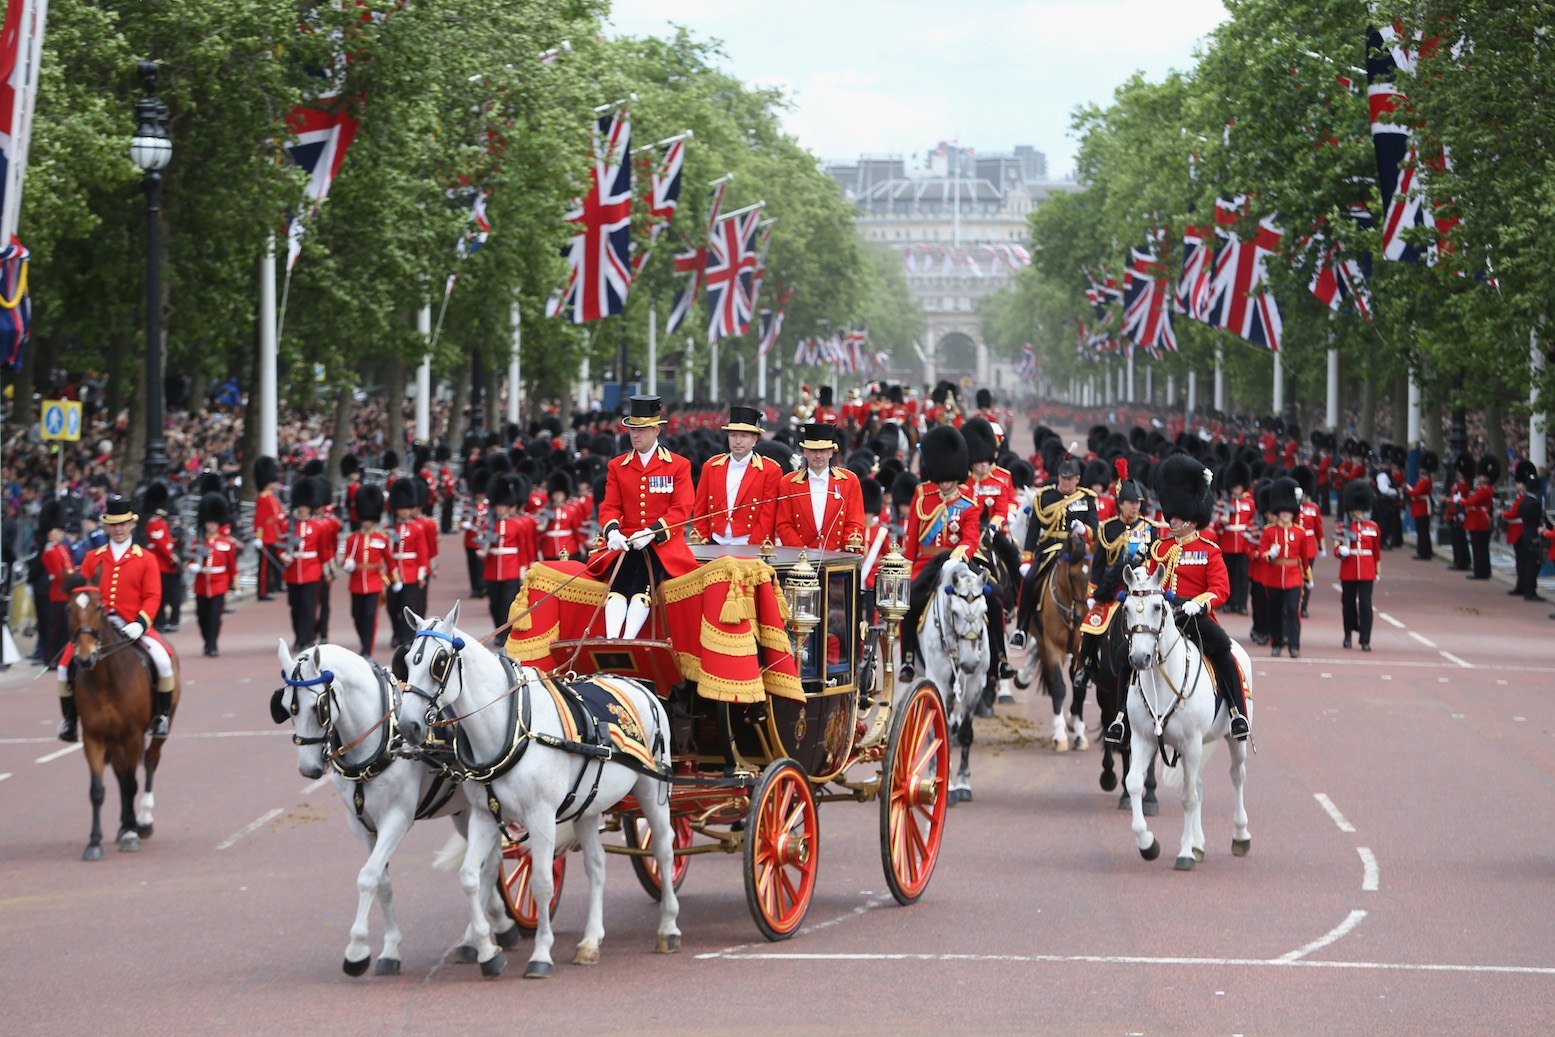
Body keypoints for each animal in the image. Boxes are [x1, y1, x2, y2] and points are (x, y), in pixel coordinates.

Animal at [64, 584, 180, 858]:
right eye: (68, 608)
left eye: (99, 607)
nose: (85, 657)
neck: (105, 678)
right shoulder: (94, 738)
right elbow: (98, 790)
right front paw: (95, 842)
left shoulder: (132, 735)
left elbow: (131, 784)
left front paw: (131, 832)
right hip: (114, 742)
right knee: (119, 773)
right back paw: (124, 824)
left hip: (157, 730)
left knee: (149, 762)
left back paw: (143, 821)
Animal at [273, 643, 522, 976]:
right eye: (287, 707)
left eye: (318, 707)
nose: (308, 769)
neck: (384, 741)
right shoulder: (361, 825)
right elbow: (382, 883)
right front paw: (389, 950)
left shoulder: (397, 820)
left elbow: (367, 878)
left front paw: (356, 951)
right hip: (466, 813)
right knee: (489, 863)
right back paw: (495, 929)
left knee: (490, 865)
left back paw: (479, 936)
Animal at [398, 603, 677, 976]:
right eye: (408, 660)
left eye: (439, 661)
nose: (408, 726)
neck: (514, 726)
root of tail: (641, 686)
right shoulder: (485, 816)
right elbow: (471, 876)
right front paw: (487, 952)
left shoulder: (541, 816)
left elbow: (542, 882)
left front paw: (541, 954)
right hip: (587, 806)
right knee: (597, 865)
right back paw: (590, 942)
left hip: (651, 791)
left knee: (663, 849)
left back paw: (668, 928)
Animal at [914, 556, 988, 808]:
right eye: (955, 612)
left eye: (985, 610)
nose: (970, 661)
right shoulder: (937, 680)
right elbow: (939, 731)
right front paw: (947, 786)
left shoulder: (975, 683)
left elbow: (965, 732)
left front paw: (963, 782)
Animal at [1119, 569, 1250, 870]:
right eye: (1126, 608)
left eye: (1158, 607)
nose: (1139, 658)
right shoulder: (1144, 739)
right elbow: (1134, 783)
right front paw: (1148, 844)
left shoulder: (1190, 743)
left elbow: (1188, 798)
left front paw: (1185, 853)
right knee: (1199, 783)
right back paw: (1199, 844)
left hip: (1231, 739)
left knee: (1236, 775)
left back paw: (1240, 836)